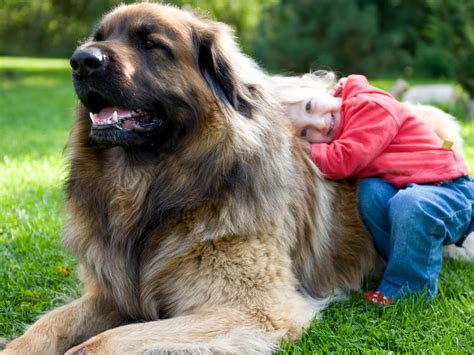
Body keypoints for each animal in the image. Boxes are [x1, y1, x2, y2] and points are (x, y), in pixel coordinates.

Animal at [3, 3, 380, 355]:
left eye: (150, 43)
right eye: (99, 37)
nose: (81, 61)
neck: (150, 191)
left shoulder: (254, 310)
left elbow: (100, 342)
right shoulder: (114, 293)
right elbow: (46, 327)